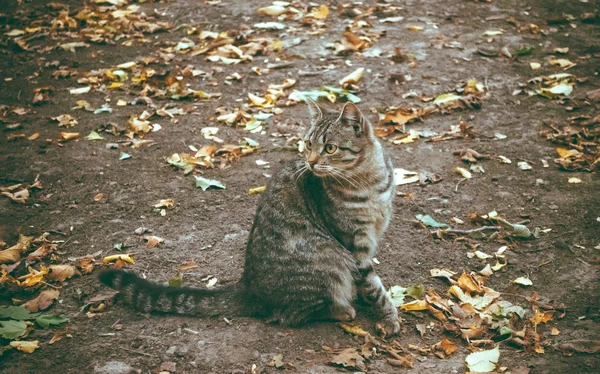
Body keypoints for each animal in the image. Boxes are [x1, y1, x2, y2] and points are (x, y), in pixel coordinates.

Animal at [101, 98, 400, 334]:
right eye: (307, 144)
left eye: (330, 148)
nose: (311, 162)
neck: (369, 182)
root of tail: (248, 286)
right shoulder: (355, 246)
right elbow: (375, 288)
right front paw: (389, 317)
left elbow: (371, 286)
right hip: (328, 262)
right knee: (292, 313)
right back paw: (341, 310)